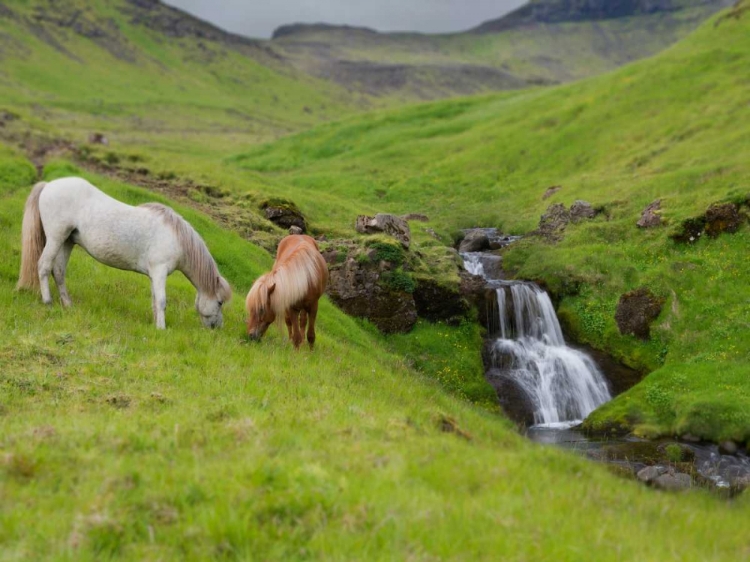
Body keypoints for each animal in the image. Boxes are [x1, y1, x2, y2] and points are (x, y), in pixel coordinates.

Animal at [16, 177, 232, 328]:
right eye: (220, 302)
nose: (217, 327)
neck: (176, 238)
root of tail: (48, 185)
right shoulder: (160, 271)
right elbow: (162, 300)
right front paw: (162, 328)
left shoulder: (153, 275)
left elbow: (154, 300)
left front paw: (155, 324)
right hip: (55, 238)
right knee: (43, 266)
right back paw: (47, 301)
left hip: (66, 242)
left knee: (59, 271)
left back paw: (68, 304)